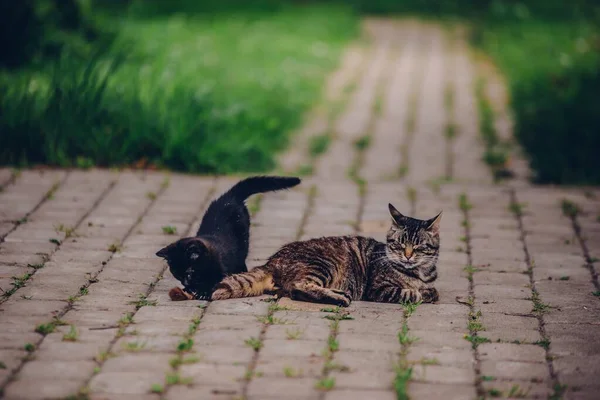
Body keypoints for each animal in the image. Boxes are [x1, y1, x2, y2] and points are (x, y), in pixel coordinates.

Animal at [157, 176, 302, 300]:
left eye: (189, 272)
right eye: (177, 274)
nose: (185, 282)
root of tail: (229, 196)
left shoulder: (222, 270)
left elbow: (215, 282)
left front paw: (204, 292)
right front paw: (191, 289)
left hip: (243, 240)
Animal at [211, 205, 440, 304]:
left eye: (418, 246)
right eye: (400, 245)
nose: (407, 255)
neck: (419, 273)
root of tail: (272, 261)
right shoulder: (378, 289)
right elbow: (411, 293)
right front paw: (423, 293)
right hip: (322, 264)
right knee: (298, 287)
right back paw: (340, 298)